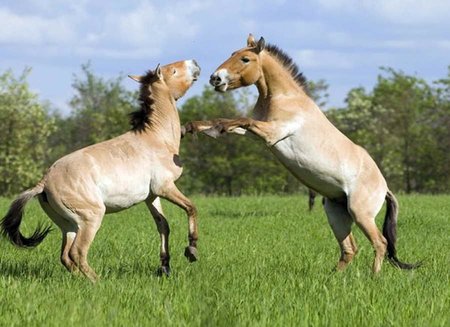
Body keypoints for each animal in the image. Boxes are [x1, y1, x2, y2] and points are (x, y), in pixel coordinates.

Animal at [0, 60, 200, 280]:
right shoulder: (165, 187)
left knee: (65, 256)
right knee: (77, 252)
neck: (156, 138)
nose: (195, 63)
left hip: (69, 226)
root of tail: (44, 182)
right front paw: (192, 250)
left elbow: (163, 225)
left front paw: (165, 267)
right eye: (173, 70)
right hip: (91, 218)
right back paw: (98, 281)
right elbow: (191, 208)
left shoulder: (151, 196)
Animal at [186, 34, 418, 274]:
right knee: (349, 249)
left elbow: (241, 119)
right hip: (336, 212)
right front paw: (196, 127)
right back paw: (333, 277)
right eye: (232, 54)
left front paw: (216, 128)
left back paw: (373, 277)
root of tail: (384, 188)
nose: (215, 78)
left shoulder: (273, 133)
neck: (284, 98)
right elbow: (230, 122)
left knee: (380, 243)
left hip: (360, 213)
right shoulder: (257, 134)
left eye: (245, 59)